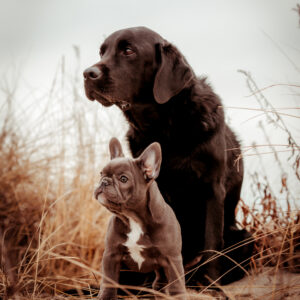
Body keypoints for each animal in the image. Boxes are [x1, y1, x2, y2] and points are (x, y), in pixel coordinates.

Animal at [95, 138, 186, 300]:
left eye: (123, 179)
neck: (133, 218)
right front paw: (105, 296)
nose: (104, 181)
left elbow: (176, 284)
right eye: (101, 173)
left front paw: (179, 296)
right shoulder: (111, 255)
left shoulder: (172, 258)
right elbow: (109, 280)